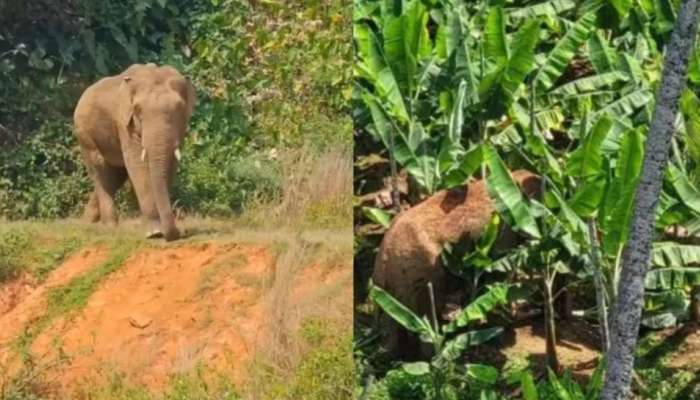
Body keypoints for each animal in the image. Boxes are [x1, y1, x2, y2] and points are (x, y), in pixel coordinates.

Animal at [73, 62, 196, 241]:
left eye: (180, 108)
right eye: (138, 109)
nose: (180, 233)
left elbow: (171, 163)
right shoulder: (124, 123)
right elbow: (137, 164)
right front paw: (154, 232)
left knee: (116, 176)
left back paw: (87, 222)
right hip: (84, 134)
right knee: (100, 170)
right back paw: (110, 227)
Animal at [372, 170, 540, 360]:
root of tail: (383, 262)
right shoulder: (502, 233)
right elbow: (496, 279)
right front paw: (504, 326)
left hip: (390, 289)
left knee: (394, 322)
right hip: (421, 274)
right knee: (426, 315)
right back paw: (434, 356)